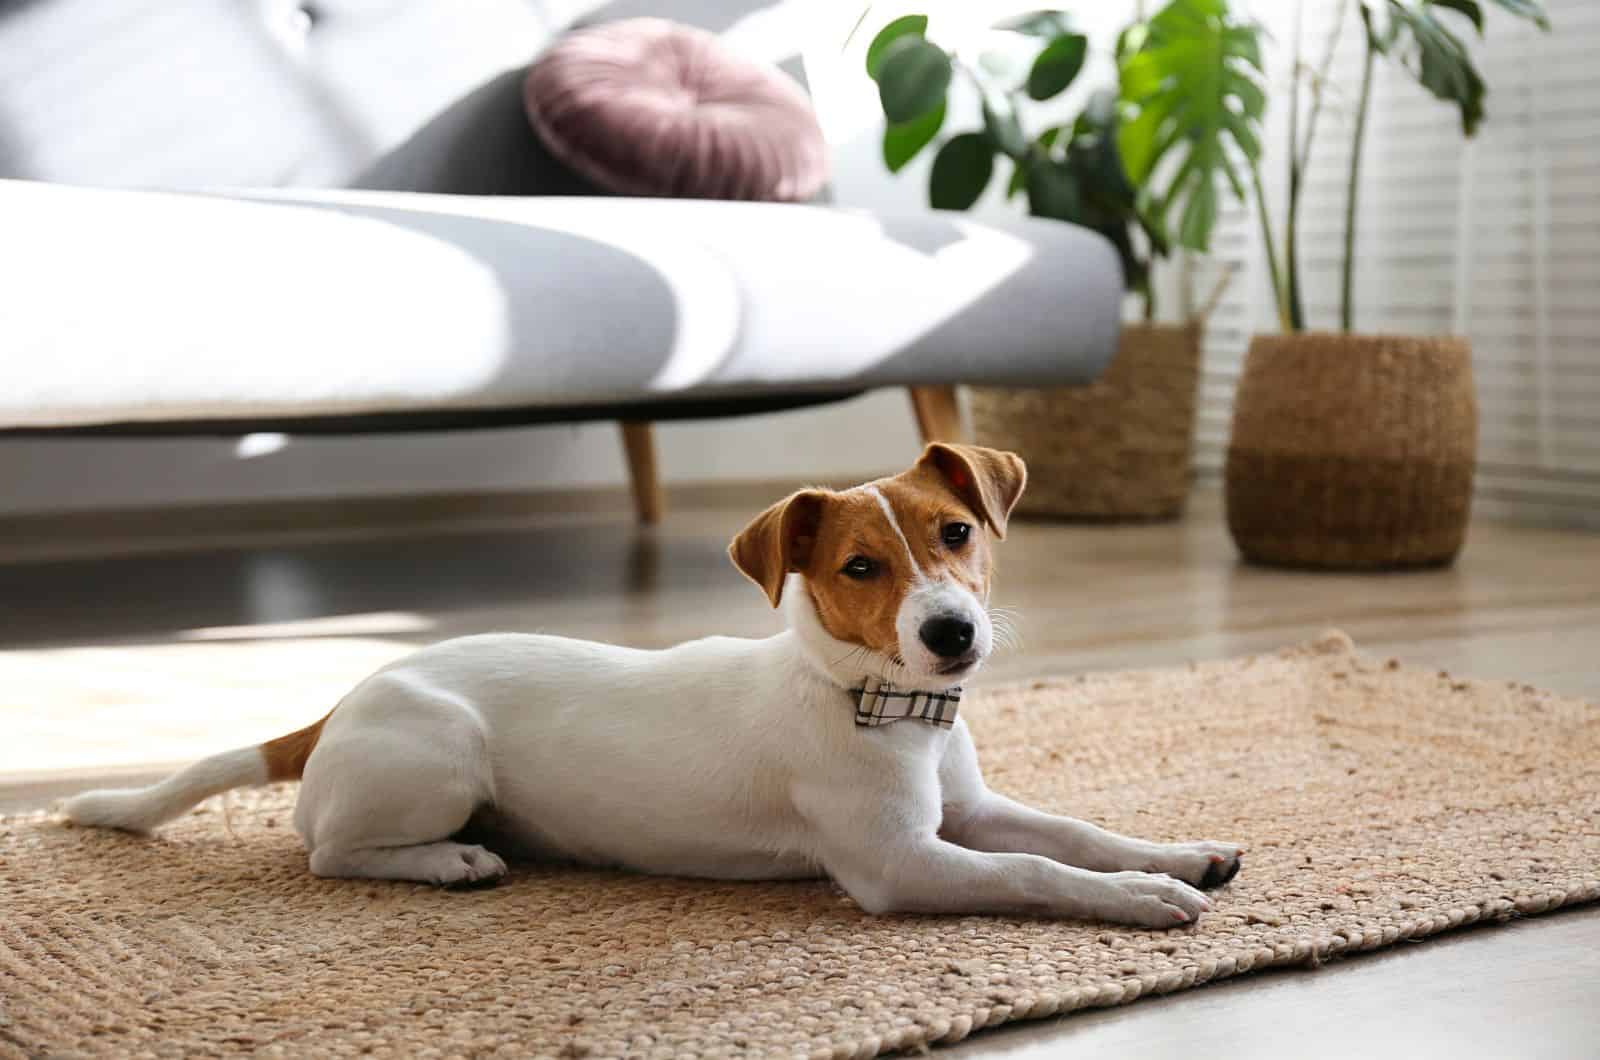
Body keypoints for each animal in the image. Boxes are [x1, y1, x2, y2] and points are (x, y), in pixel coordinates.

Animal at [65, 445, 1235, 928]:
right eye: (861, 568)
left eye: (956, 534)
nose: (951, 633)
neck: (879, 704)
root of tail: (344, 702)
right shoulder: (901, 865)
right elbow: (1038, 870)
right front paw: (1144, 897)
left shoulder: (971, 811)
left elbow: (1072, 832)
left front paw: (1181, 853)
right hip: (440, 758)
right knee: (328, 851)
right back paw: (449, 862)